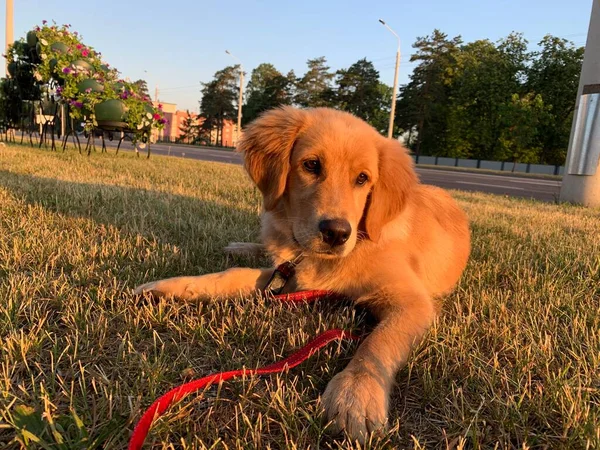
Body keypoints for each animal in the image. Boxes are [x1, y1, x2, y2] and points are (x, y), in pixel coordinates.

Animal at [134, 105, 472, 442]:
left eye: (363, 179)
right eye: (311, 165)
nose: (337, 233)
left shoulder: (412, 300)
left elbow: (379, 341)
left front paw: (356, 393)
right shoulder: (288, 276)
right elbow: (230, 275)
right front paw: (169, 286)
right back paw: (241, 246)